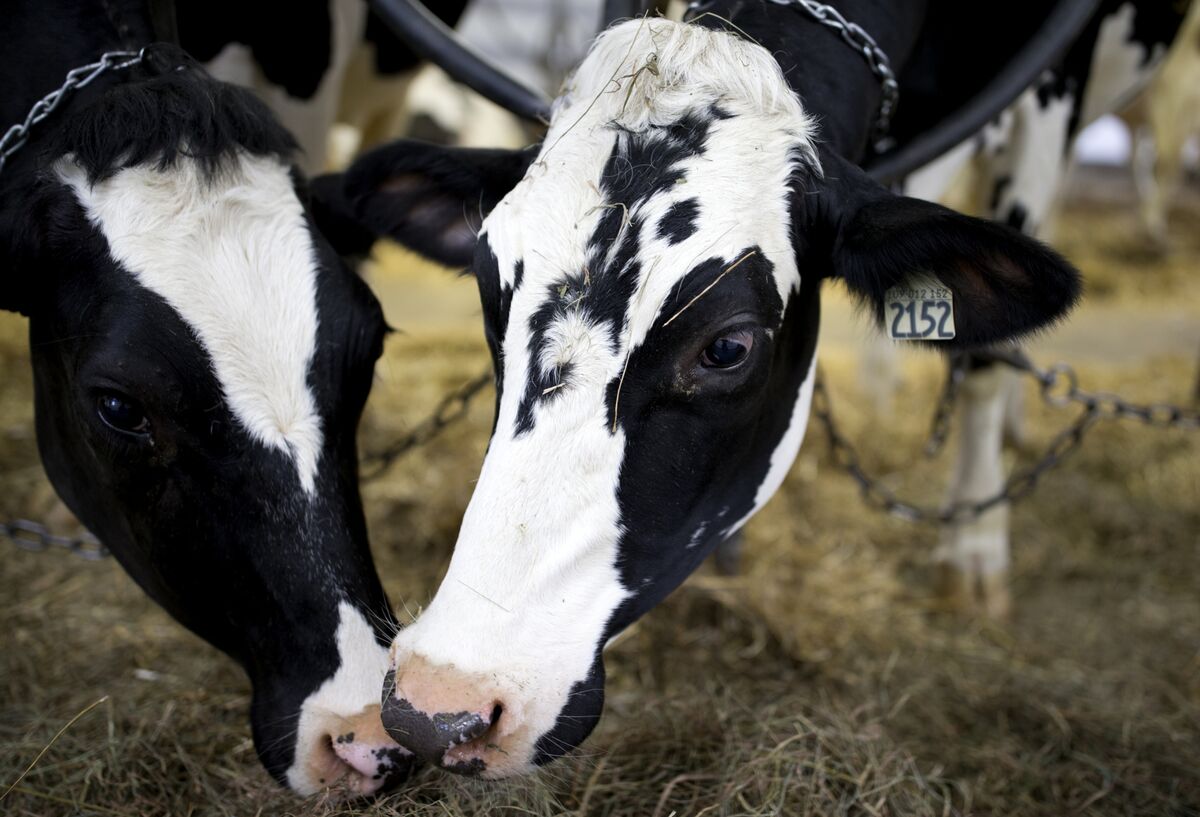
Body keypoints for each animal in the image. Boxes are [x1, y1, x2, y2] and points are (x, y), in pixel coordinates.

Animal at [319, 0, 1190, 777]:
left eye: (728, 346)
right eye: (490, 294)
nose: (436, 704)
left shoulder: (1053, 91)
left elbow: (983, 357)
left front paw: (974, 562)